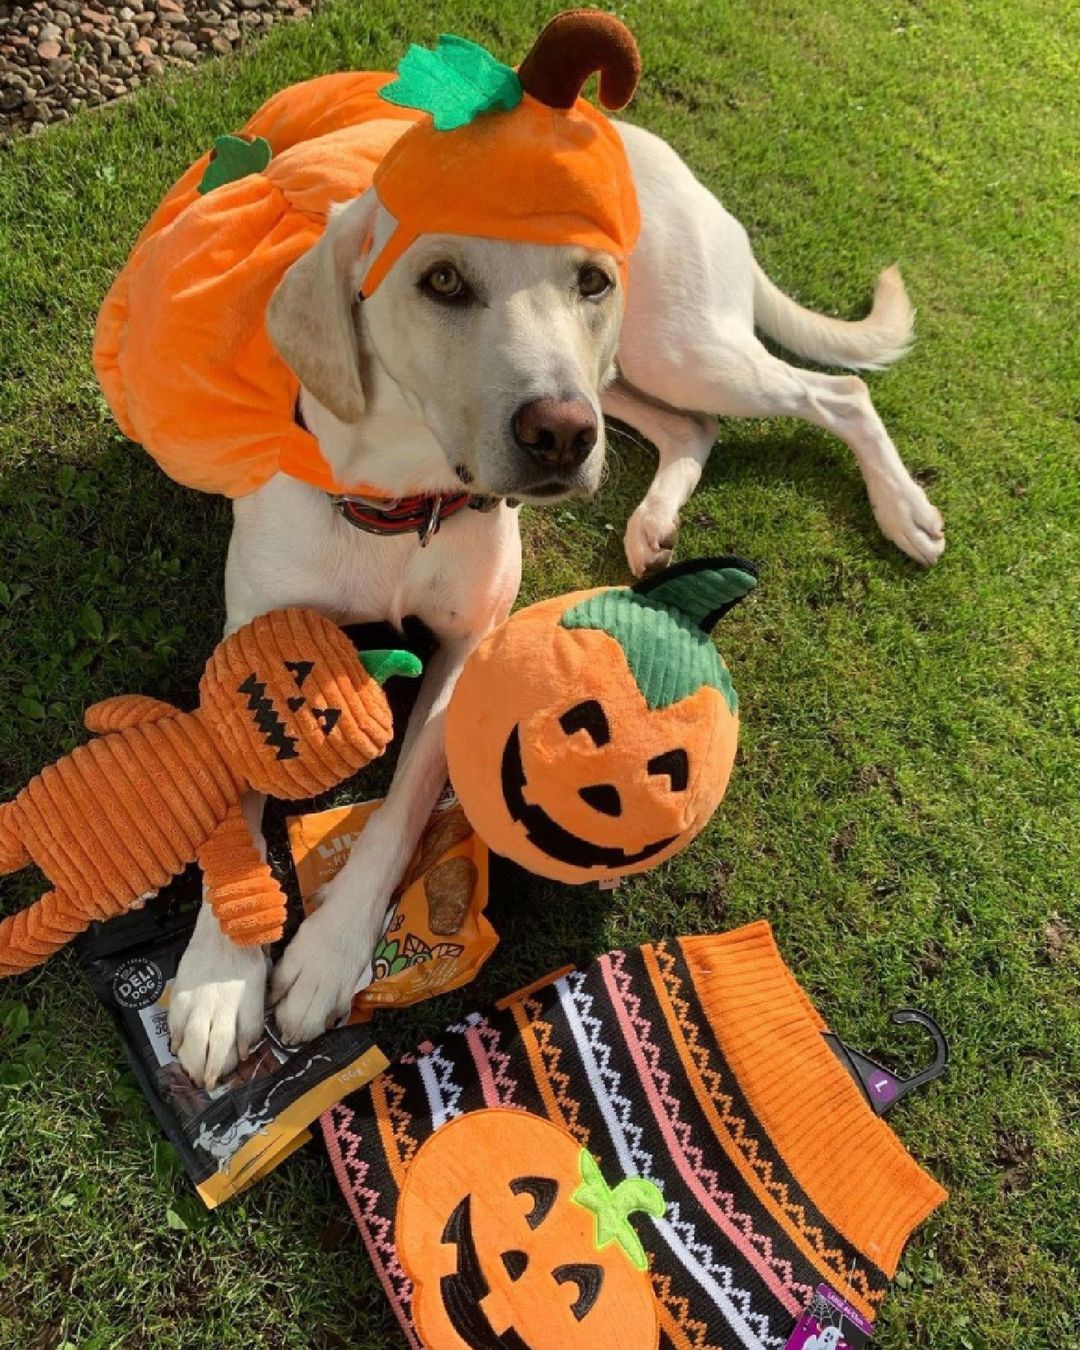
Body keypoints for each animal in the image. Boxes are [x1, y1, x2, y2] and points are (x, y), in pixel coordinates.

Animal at [168, 113, 945, 1085]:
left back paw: (904, 510)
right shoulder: (248, 641)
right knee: (693, 428)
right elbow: (231, 800)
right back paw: (654, 523)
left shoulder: (467, 649)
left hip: (666, 353)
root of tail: (657, 145)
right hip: (624, 378)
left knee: (837, 391)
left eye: (590, 278)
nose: (558, 436)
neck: (399, 502)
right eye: (442, 280)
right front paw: (215, 979)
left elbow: (402, 806)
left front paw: (328, 954)